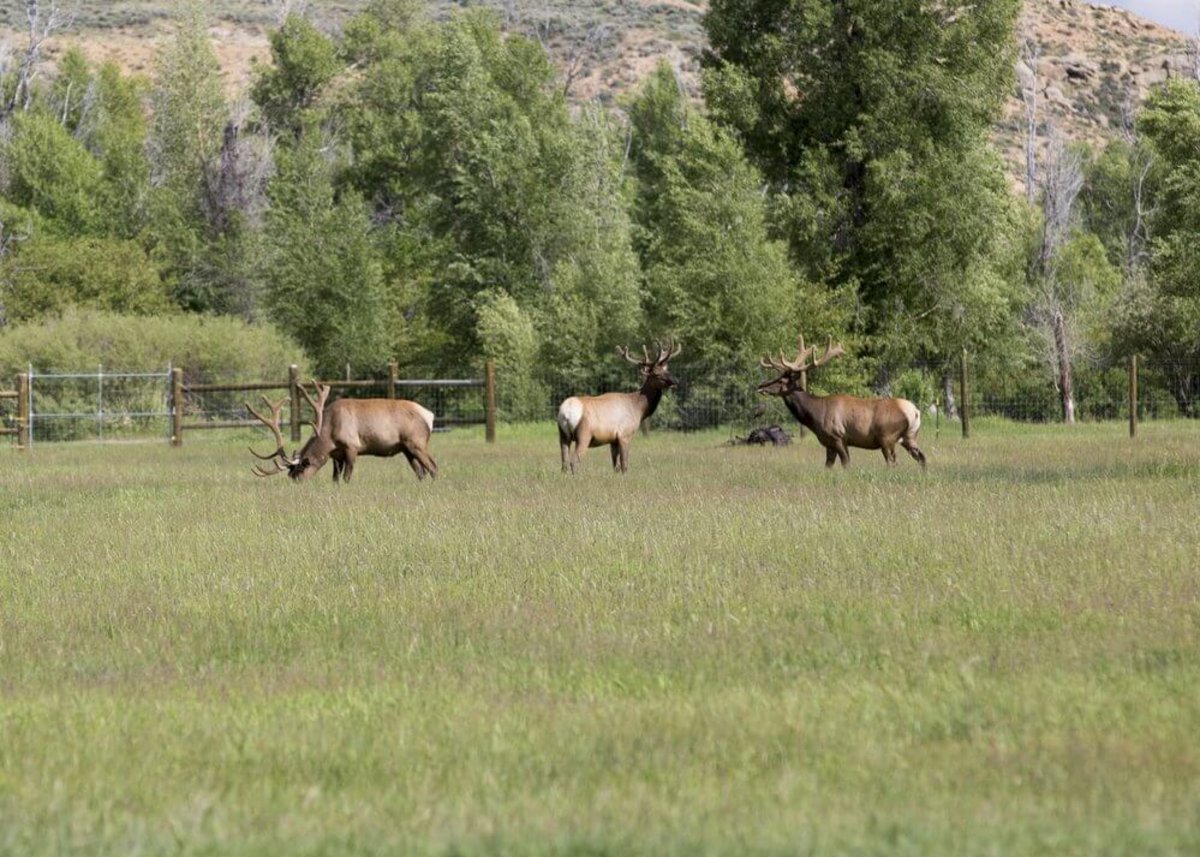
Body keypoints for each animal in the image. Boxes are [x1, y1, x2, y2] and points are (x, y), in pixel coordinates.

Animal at [247, 381, 438, 483]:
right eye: (290, 474)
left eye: (298, 472)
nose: (295, 483)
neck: (329, 435)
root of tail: (429, 415)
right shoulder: (336, 456)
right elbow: (335, 478)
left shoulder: (352, 446)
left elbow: (347, 476)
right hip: (406, 448)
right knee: (420, 472)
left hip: (417, 442)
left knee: (433, 467)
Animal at [557, 340, 682, 474]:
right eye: (656, 374)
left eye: (667, 370)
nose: (675, 381)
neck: (638, 409)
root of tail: (566, 412)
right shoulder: (625, 435)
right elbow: (624, 465)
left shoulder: (613, 440)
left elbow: (615, 466)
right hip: (584, 434)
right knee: (574, 462)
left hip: (563, 435)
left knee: (564, 463)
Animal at [758, 335, 927, 470]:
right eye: (777, 376)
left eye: (782, 380)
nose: (761, 386)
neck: (815, 415)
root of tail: (914, 412)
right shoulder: (828, 443)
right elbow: (828, 465)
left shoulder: (838, 437)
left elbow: (846, 463)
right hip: (910, 437)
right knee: (922, 458)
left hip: (887, 437)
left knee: (893, 462)